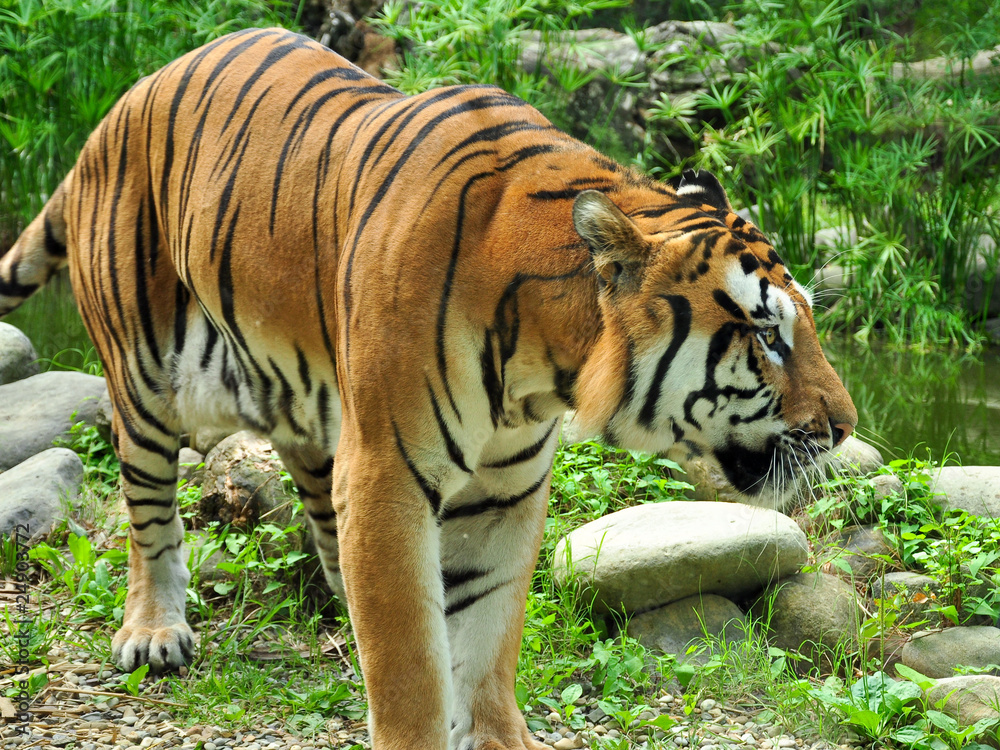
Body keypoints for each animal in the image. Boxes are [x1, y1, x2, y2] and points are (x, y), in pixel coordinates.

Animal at [0, 28, 856, 750]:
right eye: (767, 334)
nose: (845, 427)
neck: (542, 367)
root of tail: (122, 102)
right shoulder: (388, 472)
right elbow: (411, 661)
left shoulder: (505, 489)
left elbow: (486, 637)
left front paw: (498, 735)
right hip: (149, 376)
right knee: (148, 510)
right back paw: (153, 631)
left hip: (303, 399)